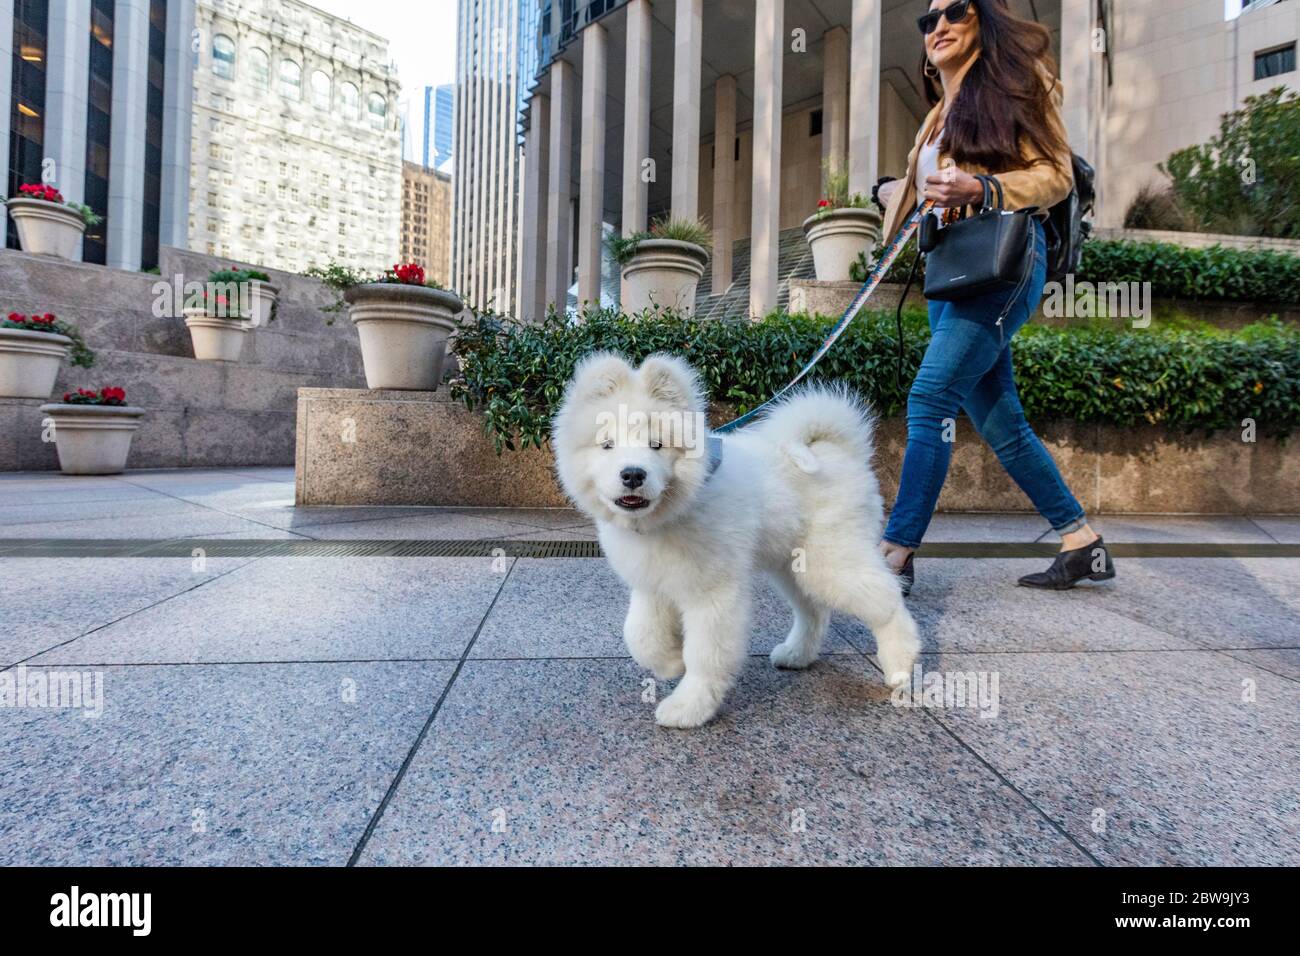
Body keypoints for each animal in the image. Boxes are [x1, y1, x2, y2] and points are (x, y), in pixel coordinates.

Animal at [553, 356, 920, 728]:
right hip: (793, 566)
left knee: (886, 600)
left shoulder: (713, 592)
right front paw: (670, 662)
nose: (632, 474)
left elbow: (706, 656)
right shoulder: (652, 583)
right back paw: (796, 655)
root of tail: (840, 449)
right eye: (607, 445)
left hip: (830, 561)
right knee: (814, 611)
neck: (672, 512)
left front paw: (689, 707)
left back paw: (900, 665)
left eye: (657, 445)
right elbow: (640, 635)